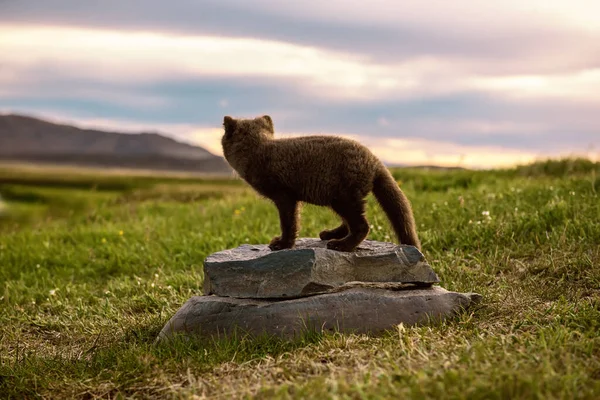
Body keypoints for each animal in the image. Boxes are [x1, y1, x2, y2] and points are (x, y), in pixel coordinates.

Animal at [221, 114, 422, 252]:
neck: (258, 151)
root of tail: (375, 161)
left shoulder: (285, 196)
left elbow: (289, 223)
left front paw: (282, 244)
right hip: (340, 199)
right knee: (349, 223)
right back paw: (328, 234)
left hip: (344, 197)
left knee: (362, 226)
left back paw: (340, 245)